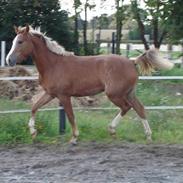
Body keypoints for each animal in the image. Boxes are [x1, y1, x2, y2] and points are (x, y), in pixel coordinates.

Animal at [6, 24, 174, 144]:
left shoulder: (64, 96)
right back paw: (148, 136)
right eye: (14, 41)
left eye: (20, 41)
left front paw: (74, 138)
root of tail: (132, 61)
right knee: (140, 108)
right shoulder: (50, 94)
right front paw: (33, 132)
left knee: (127, 107)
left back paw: (112, 130)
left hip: (114, 94)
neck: (53, 64)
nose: (9, 60)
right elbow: (34, 107)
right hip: (128, 93)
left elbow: (71, 116)